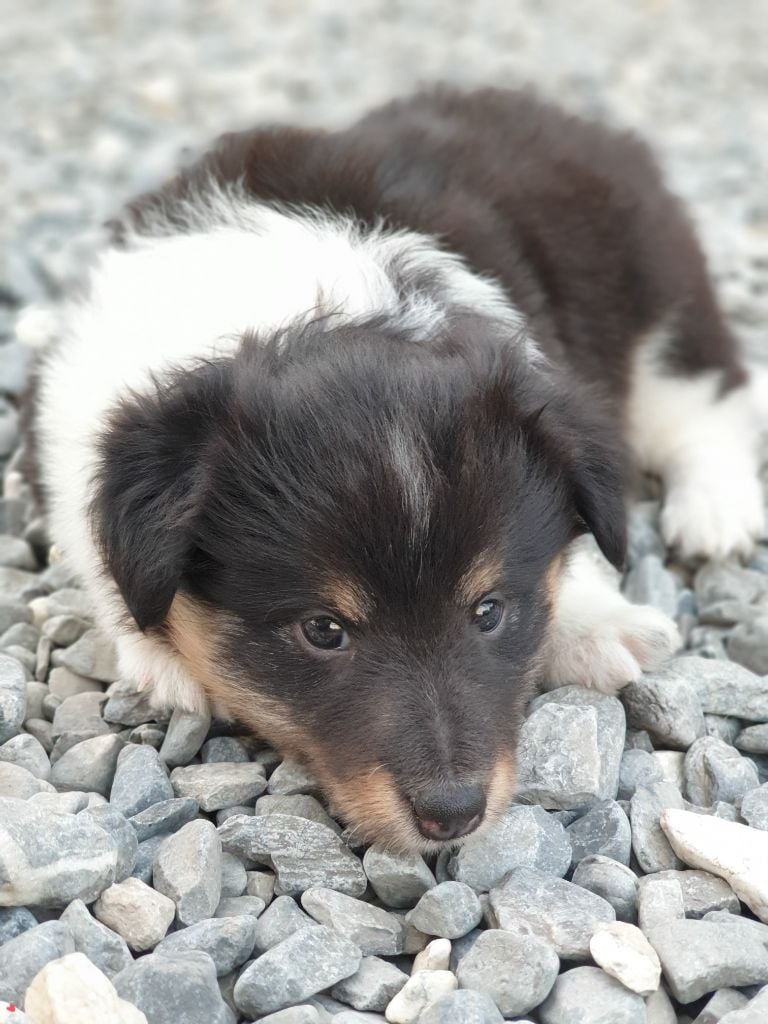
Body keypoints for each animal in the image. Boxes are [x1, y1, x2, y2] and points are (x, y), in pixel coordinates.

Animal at [32, 88, 765, 850]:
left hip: (661, 296)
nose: (454, 815)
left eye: (489, 610)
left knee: (707, 399)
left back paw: (715, 515)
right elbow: (96, 548)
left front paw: (597, 624)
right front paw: (161, 660)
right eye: (324, 630)